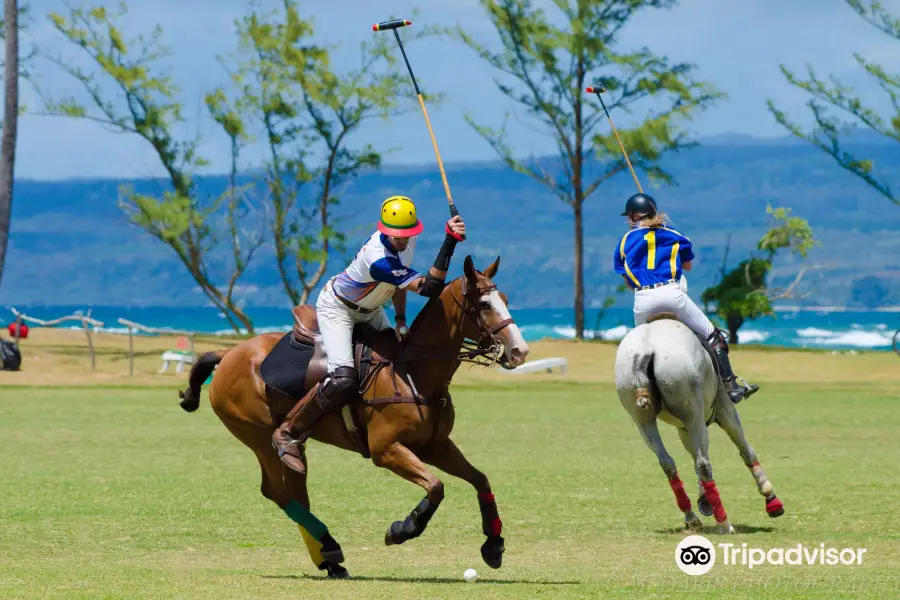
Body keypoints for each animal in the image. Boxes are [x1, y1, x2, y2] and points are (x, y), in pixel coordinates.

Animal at [178, 255, 528, 580]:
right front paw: (401, 529)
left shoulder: (435, 444)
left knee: (296, 490)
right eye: (483, 304)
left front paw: (493, 546)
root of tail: (228, 354)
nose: (519, 352)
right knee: (277, 492)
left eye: (505, 299)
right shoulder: (385, 449)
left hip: (293, 448)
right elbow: (436, 487)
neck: (414, 370)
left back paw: (328, 558)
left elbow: (480, 479)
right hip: (257, 434)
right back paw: (330, 548)